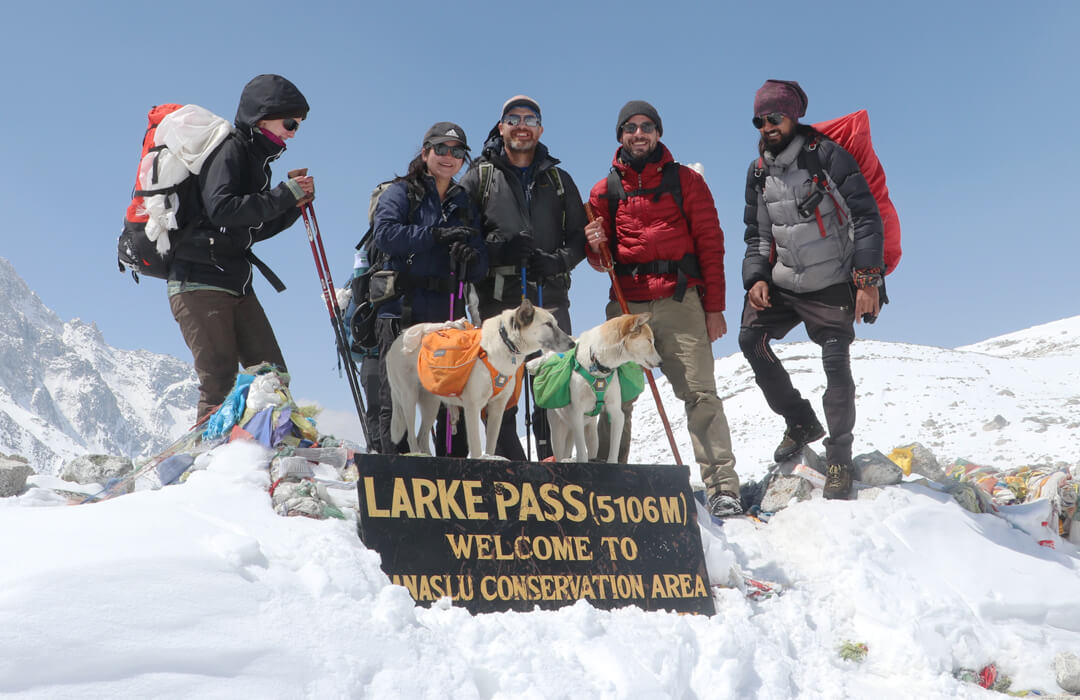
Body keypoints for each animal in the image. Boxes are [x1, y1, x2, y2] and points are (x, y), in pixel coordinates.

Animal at [388, 300, 574, 460]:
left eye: (556, 324)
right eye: (548, 325)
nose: (572, 343)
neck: (504, 342)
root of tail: (398, 341)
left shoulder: (497, 409)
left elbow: (491, 445)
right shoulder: (472, 406)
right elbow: (477, 447)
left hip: (430, 403)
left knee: (421, 437)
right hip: (409, 399)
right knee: (411, 438)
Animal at [527, 315, 660, 462]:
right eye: (649, 341)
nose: (661, 362)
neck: (597, 365)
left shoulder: (616, 413)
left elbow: (613, 449)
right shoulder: (577, 414)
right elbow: (581, 453)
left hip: (591, 434)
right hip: (558, 434)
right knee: (562, 453)